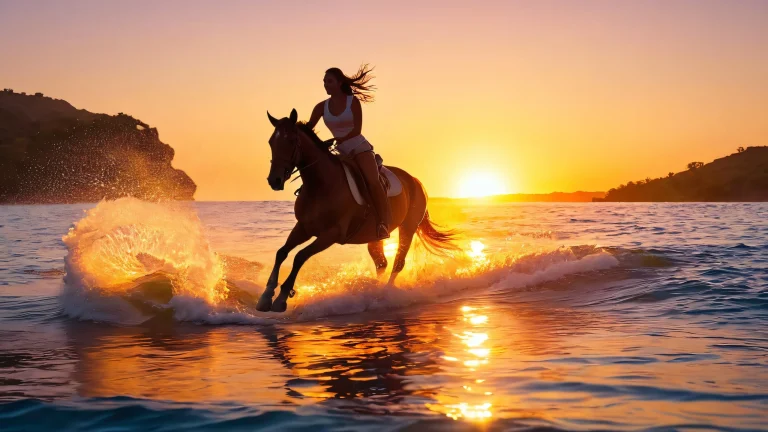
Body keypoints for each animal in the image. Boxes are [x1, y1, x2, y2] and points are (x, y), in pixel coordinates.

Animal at [257, 109, 458, 313]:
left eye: (291, 141)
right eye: (271, 142)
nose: (274, 180)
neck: (321, 184)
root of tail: (415, 181)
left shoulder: (331, 234)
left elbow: (299, 256)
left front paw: (281, 298)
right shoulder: (304, 228)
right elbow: (282, 252)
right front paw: (265, 296)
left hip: (408, 228)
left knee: (398, 263)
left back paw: (385, 295)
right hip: (375, 236)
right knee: (381, 262)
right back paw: (374, 291)